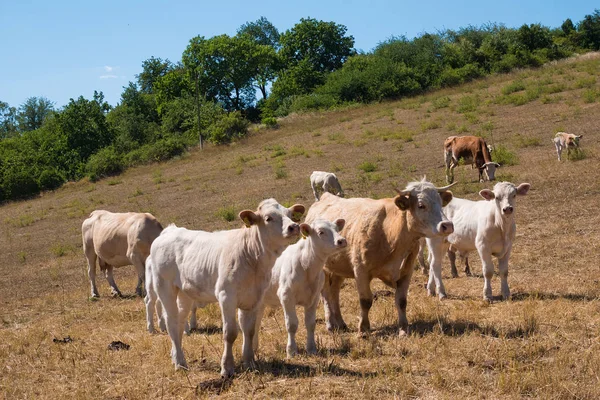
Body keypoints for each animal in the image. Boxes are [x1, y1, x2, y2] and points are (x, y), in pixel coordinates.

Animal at [146, 200, 304, 378]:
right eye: (268, 218)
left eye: (290, 215)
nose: (294, 227)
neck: (252, 258)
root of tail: (170, 230)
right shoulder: (226, 296)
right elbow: (230, 333)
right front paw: (227, 368)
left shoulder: (253, 298)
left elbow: (249, 330)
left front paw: (250, 362)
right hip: (164, 287)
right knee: (171, 322)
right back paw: (180, 363)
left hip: (185, 293)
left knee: (179, 321)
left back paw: (176, 356)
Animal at [254, 217, 346, 358]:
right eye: (321, 232)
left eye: (336, 229)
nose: (341, 241)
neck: (307, 266)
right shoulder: (286, 296)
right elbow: (291, 324)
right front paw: (291, 351)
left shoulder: (314, 298)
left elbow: (310, 324)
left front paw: (312, 348)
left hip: (260, 303)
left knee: (256, 323)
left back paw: (254, 349)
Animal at [304, 180, 454, 336]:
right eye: (421, 205)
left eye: (440, 202)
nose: (447, 225)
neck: (390, 232)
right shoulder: (361, 271)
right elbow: (365, 301)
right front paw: (363, 329)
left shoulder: (407, 271)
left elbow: (401, 300)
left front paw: (403, 328)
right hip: (323, 269)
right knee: (326, 294)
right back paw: (330, 324)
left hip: (339, 268)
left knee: (335, 292)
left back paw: (340, 323)